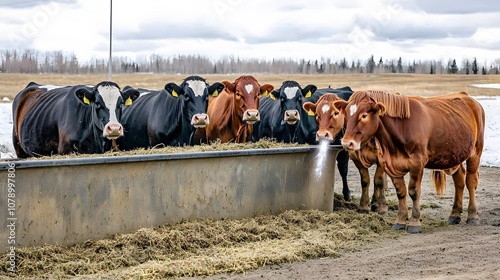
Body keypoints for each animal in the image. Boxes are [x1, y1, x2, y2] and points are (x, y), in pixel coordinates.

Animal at [336, 91, 484, 233]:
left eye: (364, 115)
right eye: (346, 115)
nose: (346, 143)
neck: (401, 128)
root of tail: (466, 96)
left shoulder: (417, 164)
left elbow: (413, 191)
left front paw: (414, 222)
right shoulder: (390, 164)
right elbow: (400, 192)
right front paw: (400, 221)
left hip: (475, 152)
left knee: (470, 182)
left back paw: (472, 215)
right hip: (455, 155)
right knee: (459, 180)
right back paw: (455, 214)